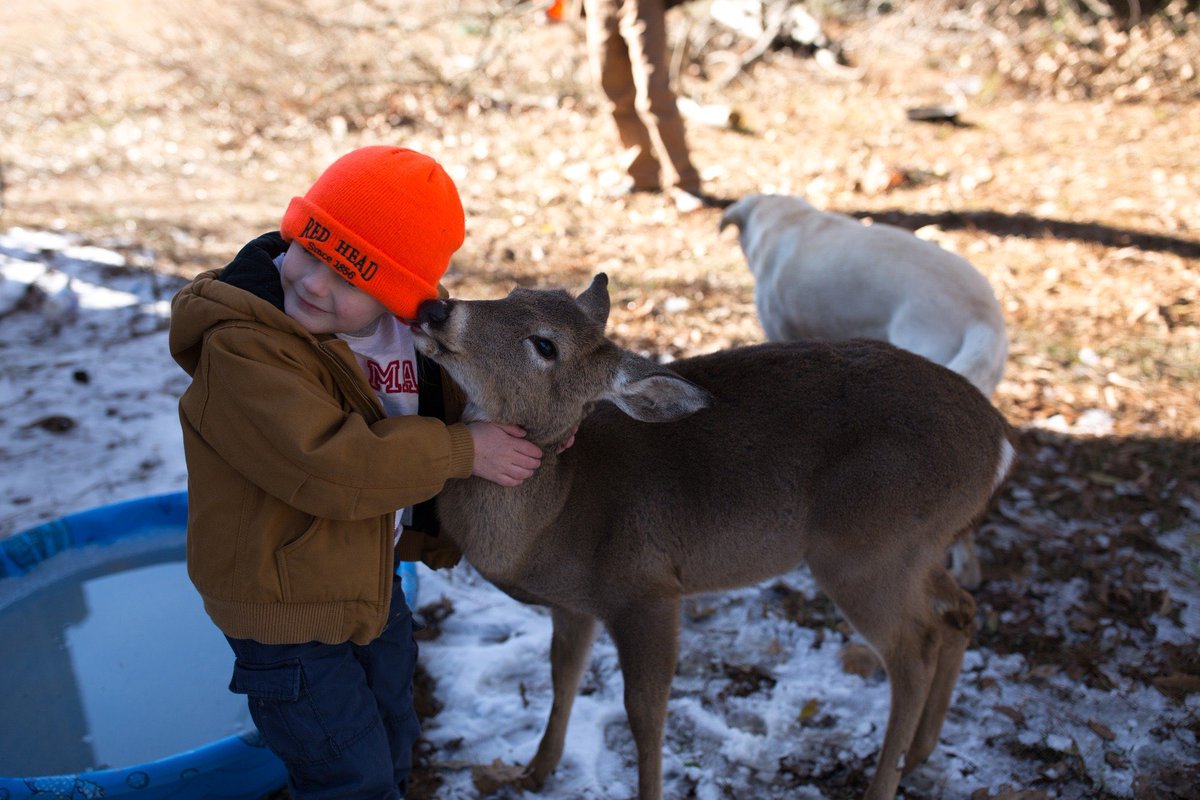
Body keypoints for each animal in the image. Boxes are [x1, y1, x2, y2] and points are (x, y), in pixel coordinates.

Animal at [410, 273, 1016, 800]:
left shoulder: (647, 589)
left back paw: (882, 782)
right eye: (516, 292)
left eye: (544, 344)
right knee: (958, 610)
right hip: (916, 546)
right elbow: (563, 677)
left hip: (864, 548)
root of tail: (1000, 442)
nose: (436, 309)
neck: (556, 516)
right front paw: (534, 772)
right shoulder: (575, 605)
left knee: (913, 654)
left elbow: (645, 714)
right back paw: (919, 755)